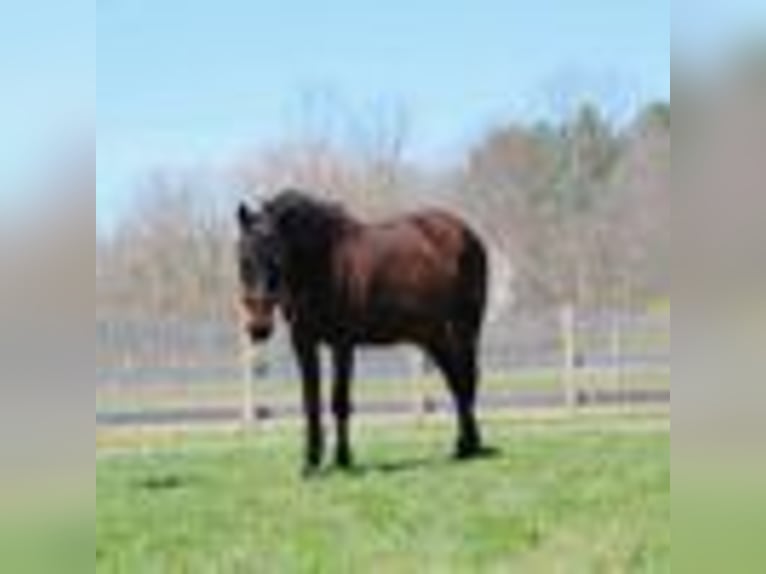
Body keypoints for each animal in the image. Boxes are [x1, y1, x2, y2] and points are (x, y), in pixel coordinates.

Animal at [236, 190, 489, 475]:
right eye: (242, 259)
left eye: (277, 259)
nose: (258, 327)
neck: (324, 262)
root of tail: (467, 233)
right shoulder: (303, 343)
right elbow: (311, 402)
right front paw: (311, 462)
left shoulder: (342, 344)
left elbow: (340, 401)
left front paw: (343, 458)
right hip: (433, 335)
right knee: (456, 381)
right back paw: (464, 445)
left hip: (464, 328)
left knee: (466, 379)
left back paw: (470, 445)